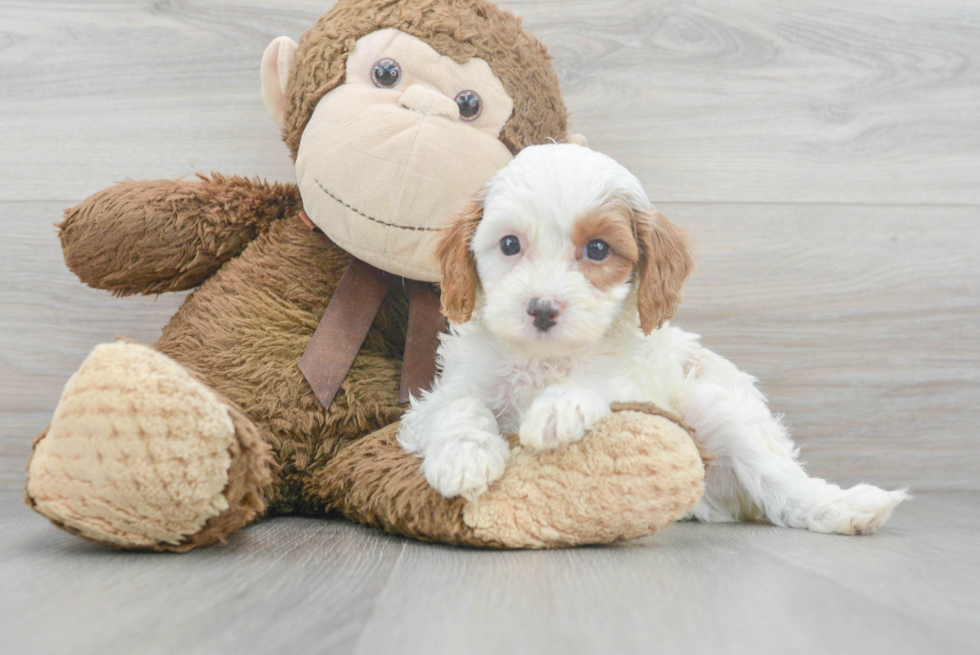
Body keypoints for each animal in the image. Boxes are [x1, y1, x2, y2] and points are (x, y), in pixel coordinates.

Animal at [400, 142, 912, 532]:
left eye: (598, 249)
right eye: (509, 244)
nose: (542, 309)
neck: (546, 360)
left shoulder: (640, 382)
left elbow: (605, 383)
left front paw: (560, 408)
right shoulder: (444, 394)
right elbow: (457, 405)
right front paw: (463, 457)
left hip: (712, 408)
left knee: (779, 480)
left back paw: (846, 508)